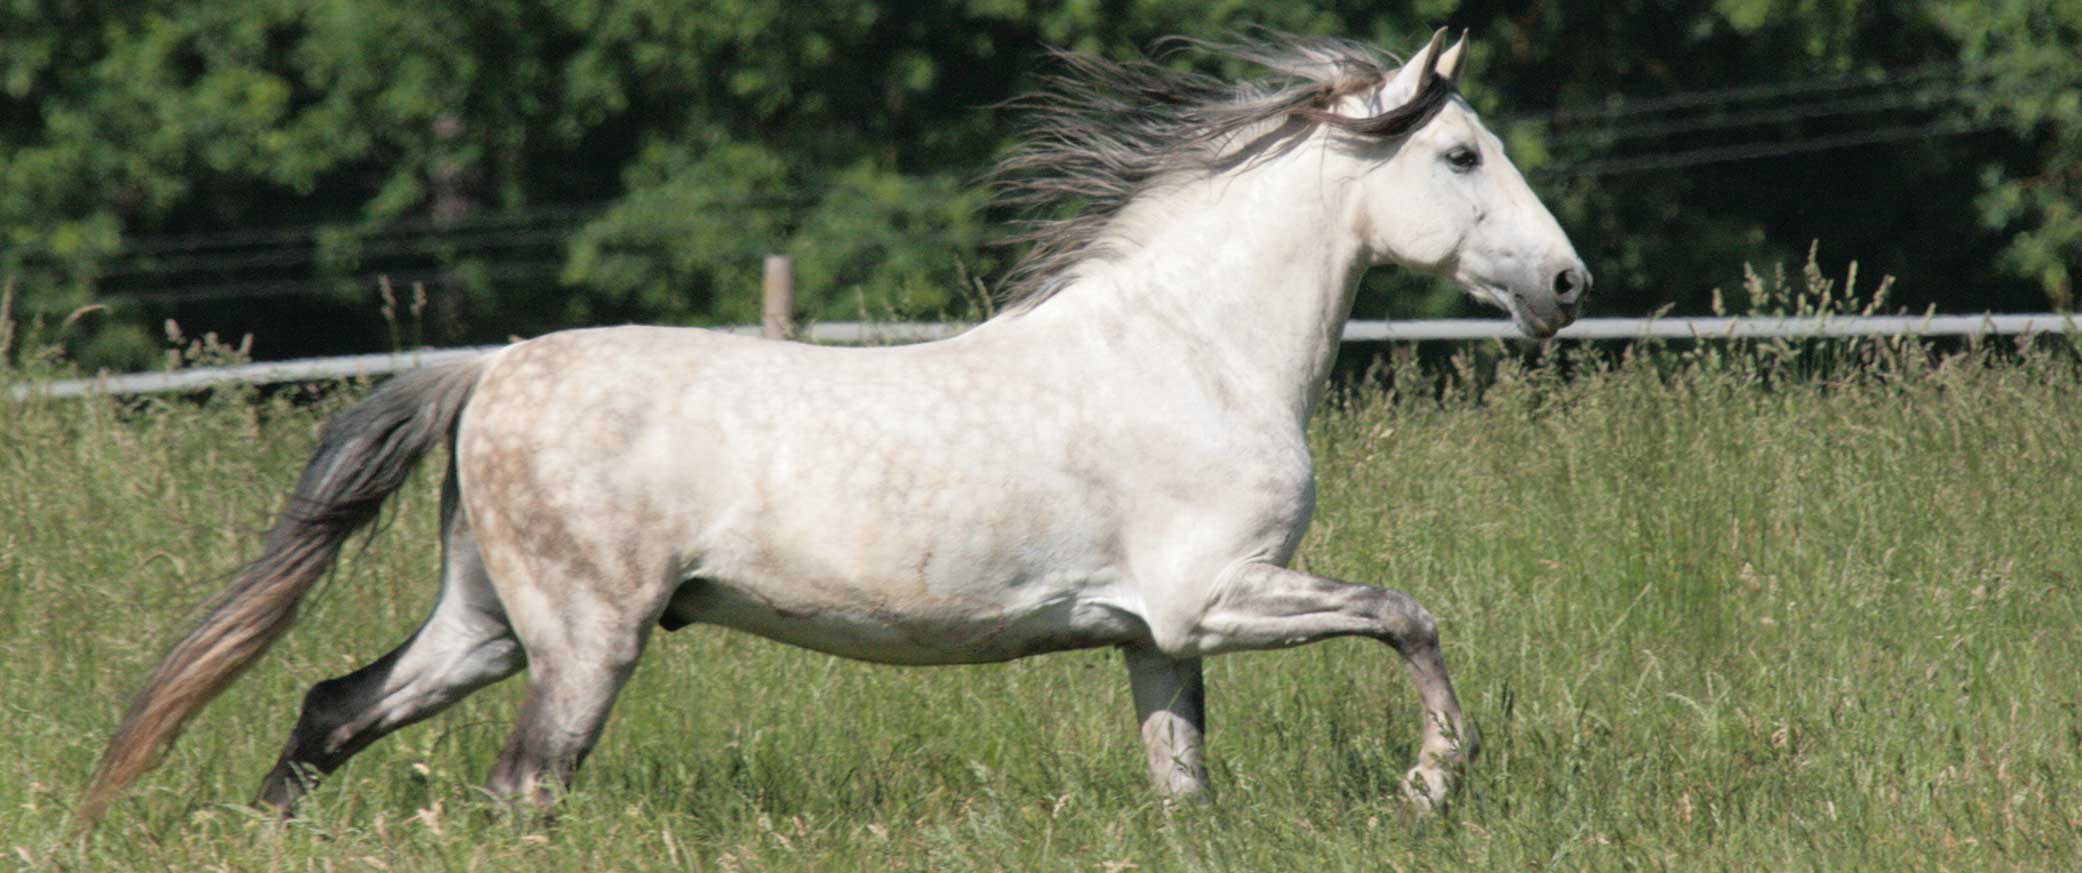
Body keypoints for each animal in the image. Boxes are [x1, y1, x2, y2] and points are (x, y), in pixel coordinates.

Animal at [79, 28, 1587, 826]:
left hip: (487, 618)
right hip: (584, 639)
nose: (1565, 287)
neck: (1197, 351)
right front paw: (1429, 782)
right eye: (1461, 154)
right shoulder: (1220, 594)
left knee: (334, 706)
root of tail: (488, 369)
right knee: (523, 780)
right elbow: (1409, 616)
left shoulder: (1155, 637)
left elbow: (1182, 787)